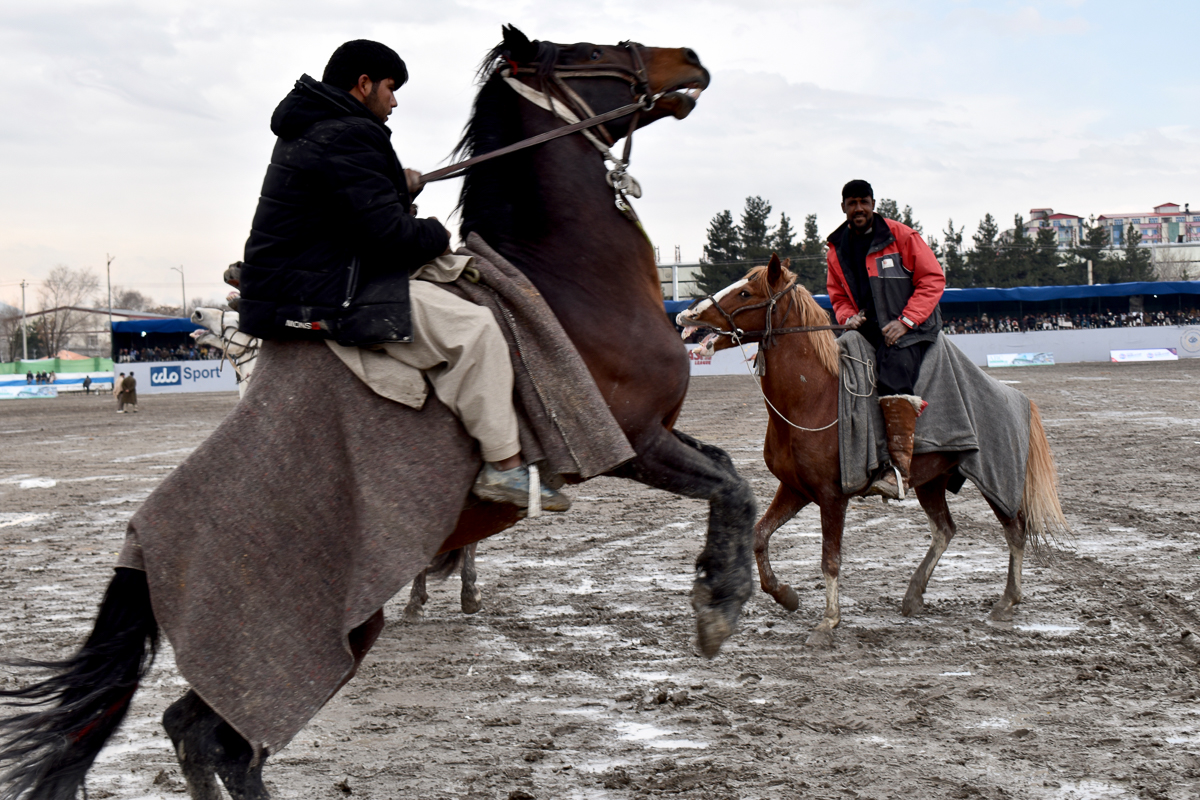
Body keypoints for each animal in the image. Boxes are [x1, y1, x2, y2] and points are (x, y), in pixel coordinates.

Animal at [0, 27, 754, 800]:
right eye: (586, 51)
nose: (690, 58)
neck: (568, 282)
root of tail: (142, 545)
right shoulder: (631, 442)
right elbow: (733, 486)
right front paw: (718, 606)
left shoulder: (655, 436)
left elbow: (732, 471)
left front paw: (722, 588)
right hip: (318, 635)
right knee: (221, 739)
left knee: (196, 731)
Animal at [677, 254, 1068, 647]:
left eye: (745, 292)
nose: (686, 315)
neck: (813, 398)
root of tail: (1018, 397)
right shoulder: (795, 489)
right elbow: (759, 536)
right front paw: (786, 595)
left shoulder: (833, 496)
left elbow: (830, 559)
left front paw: (828, 621)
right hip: (931, 482)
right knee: (945, 529)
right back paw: (914, 595)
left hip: (995, 476)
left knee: (1014, 529)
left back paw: (1006, 601)